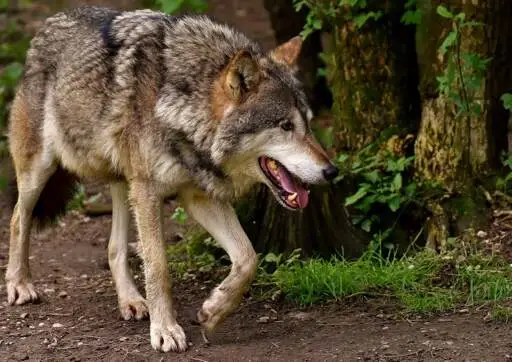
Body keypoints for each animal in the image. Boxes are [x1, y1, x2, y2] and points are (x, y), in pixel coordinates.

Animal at [5, 4, 340, 350]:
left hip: (124, 183)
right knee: (18, 219)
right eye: (286, 126)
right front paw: (165, 330)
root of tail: (49, 23)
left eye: (309, 124)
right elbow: (158, 266)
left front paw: (213, 312)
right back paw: (20, 284)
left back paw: (131, 301)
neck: (182, 107)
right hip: (41, 172)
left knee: (114, 248)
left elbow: (248, 258)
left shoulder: (198, 196)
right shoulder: (149, 192)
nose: (332, 171)